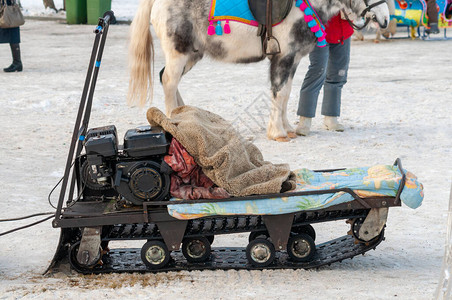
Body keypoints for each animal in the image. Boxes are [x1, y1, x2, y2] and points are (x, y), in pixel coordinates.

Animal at [128, 0, 388, 142]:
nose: (385, 21)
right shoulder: (283, 57)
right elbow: (279, 93)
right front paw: (278, 132)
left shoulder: (292, 60)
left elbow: (286, 94)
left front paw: (288, 129)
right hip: (179, 52)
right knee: (169, 81)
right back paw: (175, 122)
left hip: (192, 54)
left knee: (169, 81)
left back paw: (186, 117)